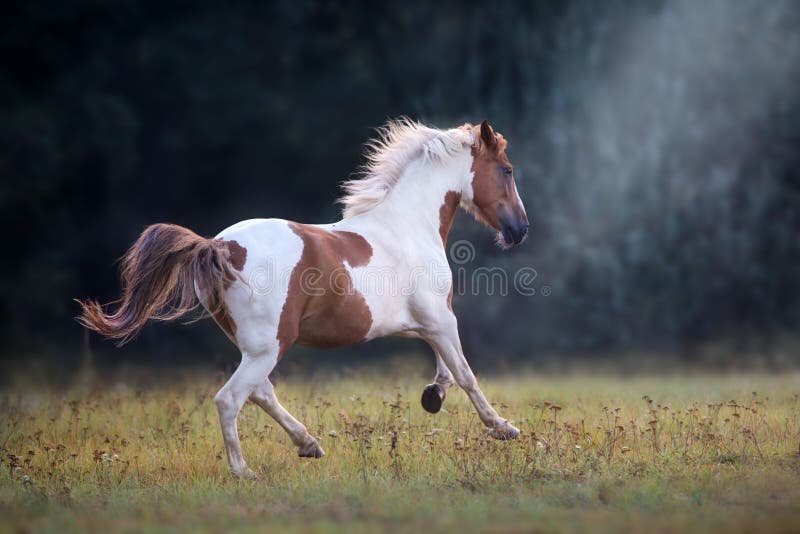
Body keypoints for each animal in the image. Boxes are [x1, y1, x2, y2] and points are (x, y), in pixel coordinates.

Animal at [79, 119, 532, 480]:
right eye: (507, 170)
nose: (520, 229)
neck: (408, 224)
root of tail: (217, 245)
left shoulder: (425, 322)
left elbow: (446, 369)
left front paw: (432, 397)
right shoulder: (440, 318)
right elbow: (465, 374)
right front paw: (503, 428)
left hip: (256, 346)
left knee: (261, 393)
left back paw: (308, 444)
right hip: (269, 346)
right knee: (231, 399)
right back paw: (245, 472)